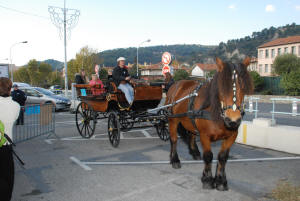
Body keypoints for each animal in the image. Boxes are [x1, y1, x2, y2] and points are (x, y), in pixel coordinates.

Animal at [166, 57, 253, 191]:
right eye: (221, 87)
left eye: (243, 87)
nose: (233, 120)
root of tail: (176, 84)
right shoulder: (204, 135)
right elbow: (208, 156)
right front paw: (207, 179)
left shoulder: (232, 136)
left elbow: (223, 156)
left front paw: (221, 180)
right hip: (173, 120)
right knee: (174, 139)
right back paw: (175, 159)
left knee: (191, 135)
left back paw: (195, 153)